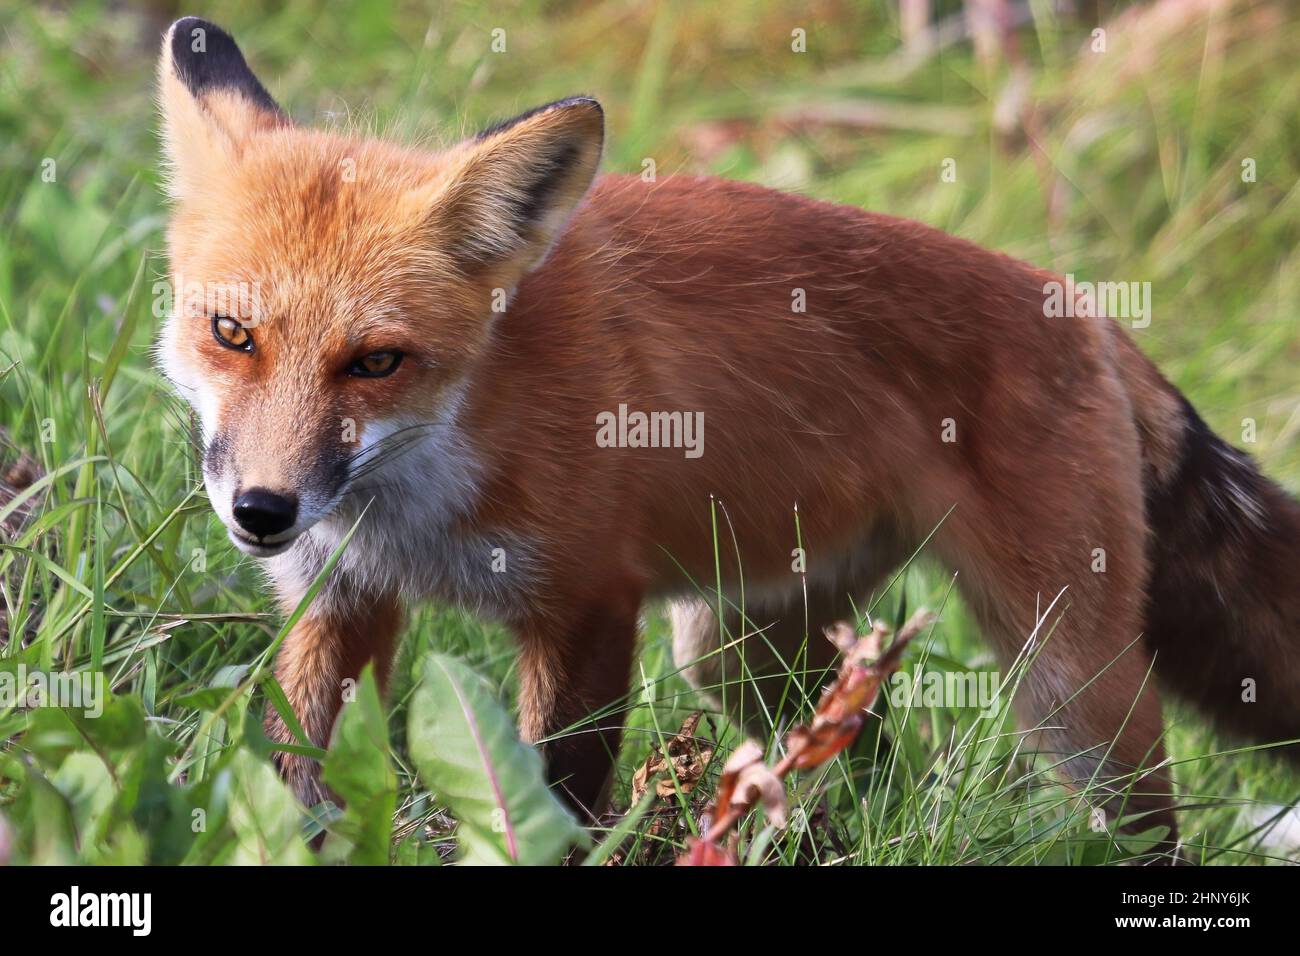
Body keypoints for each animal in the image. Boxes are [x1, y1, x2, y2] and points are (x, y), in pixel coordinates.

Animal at [157, 18, 1294, 848]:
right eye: (232, 334)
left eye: (376, 361)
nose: (262, 511)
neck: (425, 487)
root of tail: (1087, 307)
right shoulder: (336, 598)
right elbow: (301, 772)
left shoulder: (587, 604)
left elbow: (557, 799)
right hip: (737, 650)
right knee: (874, 762)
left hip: (1069, 688)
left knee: (1142, 824)